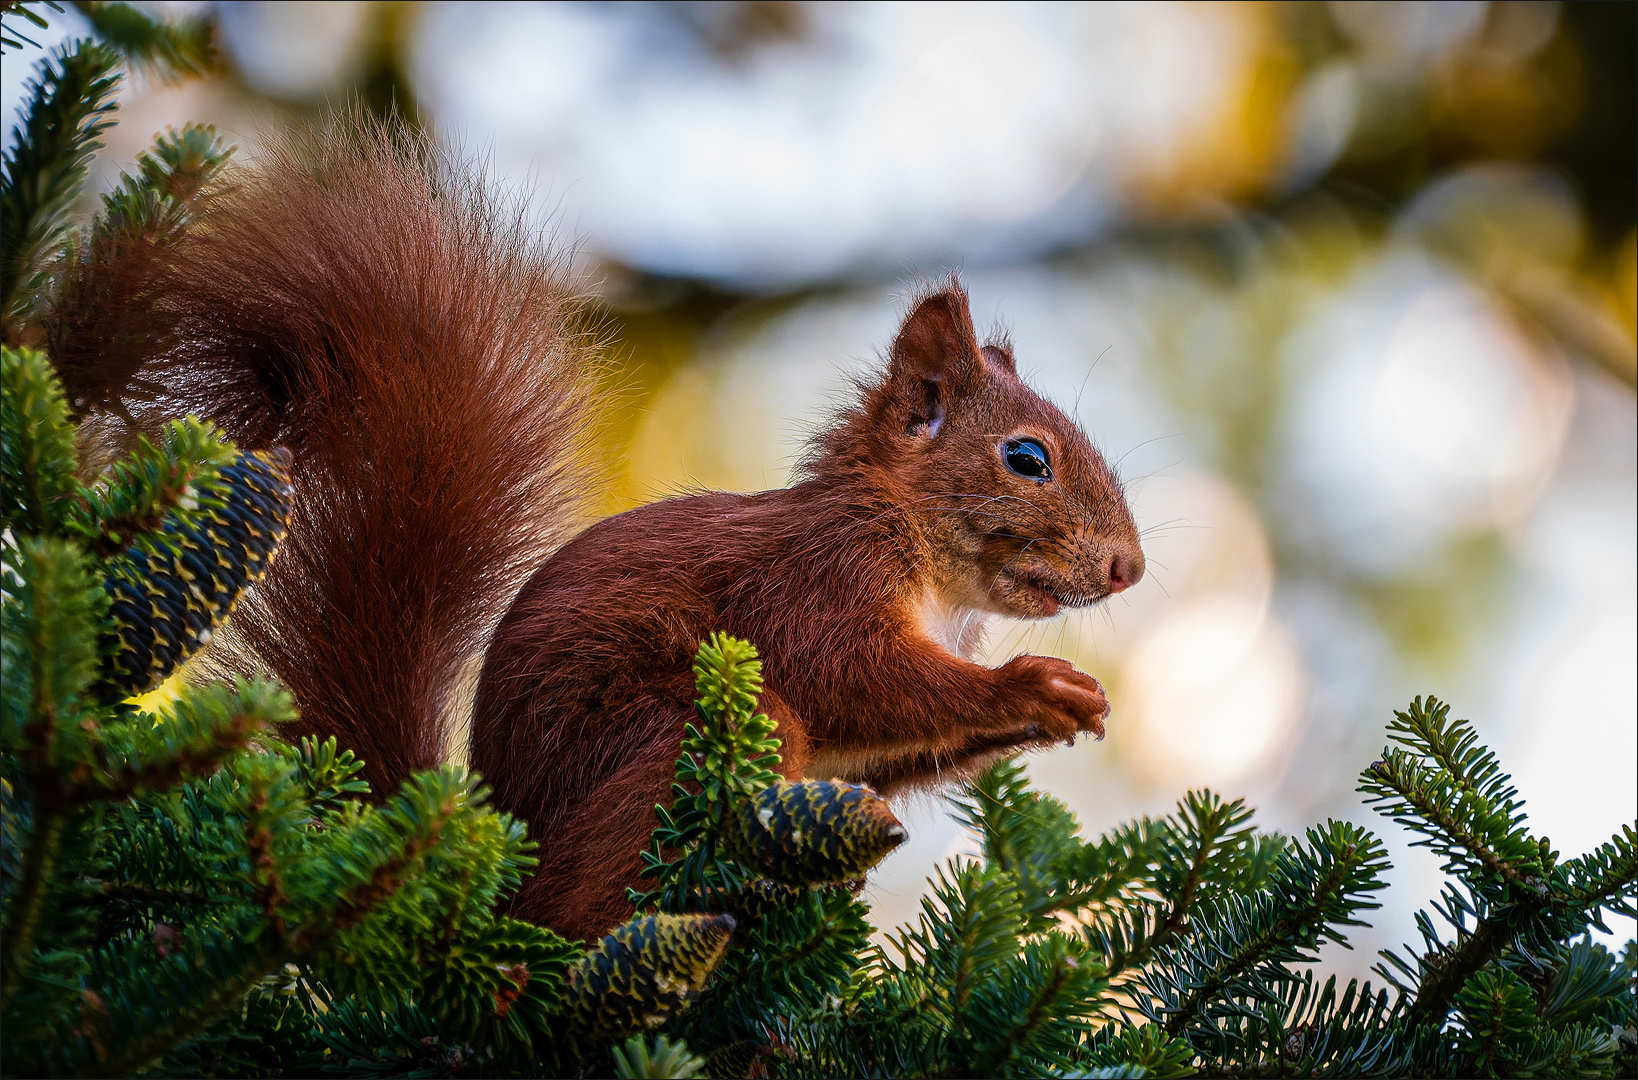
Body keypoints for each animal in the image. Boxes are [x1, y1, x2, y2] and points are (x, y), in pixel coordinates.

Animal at [137, 122, 1140, 943]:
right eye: (1027, 458)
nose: (1128, 568)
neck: (918, 552)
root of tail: (496, 882)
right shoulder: (816, 578)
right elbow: (850, 673)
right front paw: (1030, 684)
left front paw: (1068, 707)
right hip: (677, 740)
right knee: (581, 909)